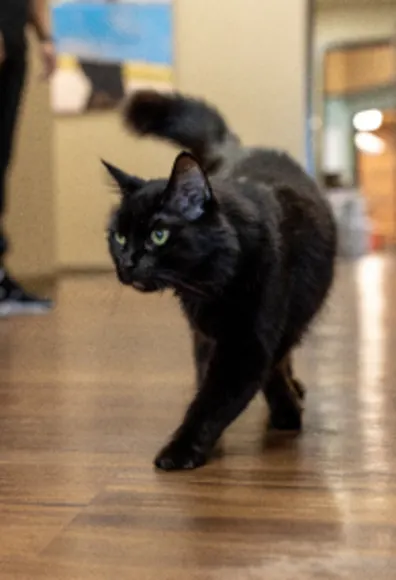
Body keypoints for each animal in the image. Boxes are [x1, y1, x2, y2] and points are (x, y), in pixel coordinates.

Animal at [103, 92, 336, 472]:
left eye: (158, 235)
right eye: (120, 238)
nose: (127, 264)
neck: (208, 284)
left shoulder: (248, 343)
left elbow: (216, 398)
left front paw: (180, 450)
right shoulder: (206, 335)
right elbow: (209, 385)